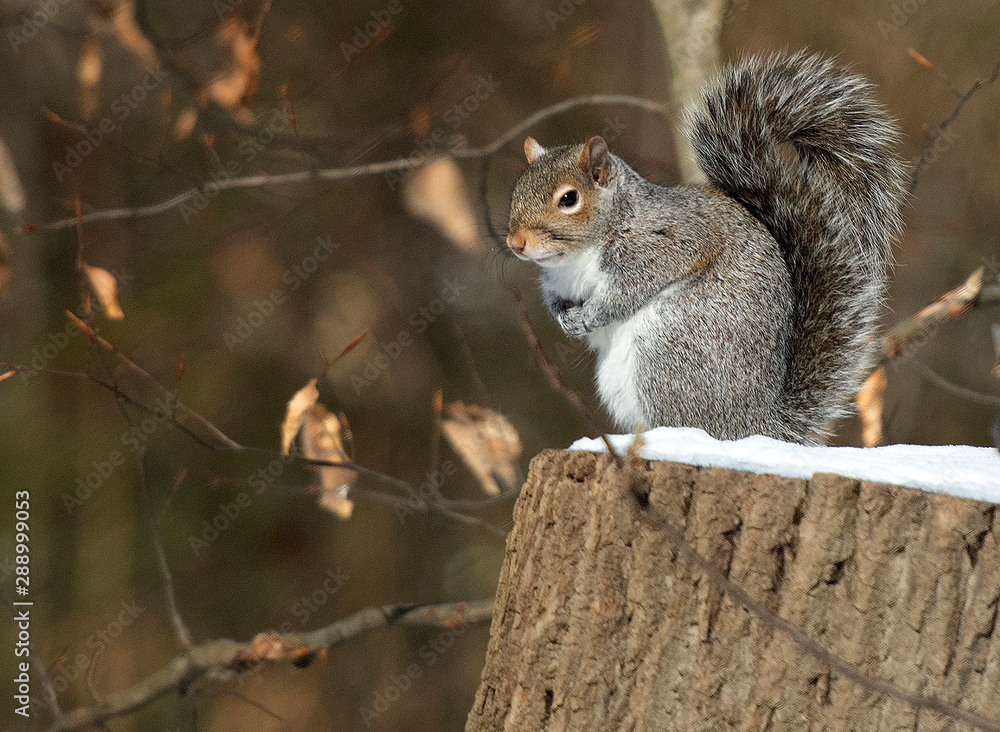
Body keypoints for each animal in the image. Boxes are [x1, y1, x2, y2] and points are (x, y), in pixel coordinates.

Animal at [506, 51, 906, 443]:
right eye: (517, 190)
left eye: (568, 199)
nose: (515, 243)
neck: (574, 259)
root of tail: (756, 425)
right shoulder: (556, 282)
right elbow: (557, 301)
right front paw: (566, 318)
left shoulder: (669, 243)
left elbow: (628, 291)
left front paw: (592, 315)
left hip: (669, 349)